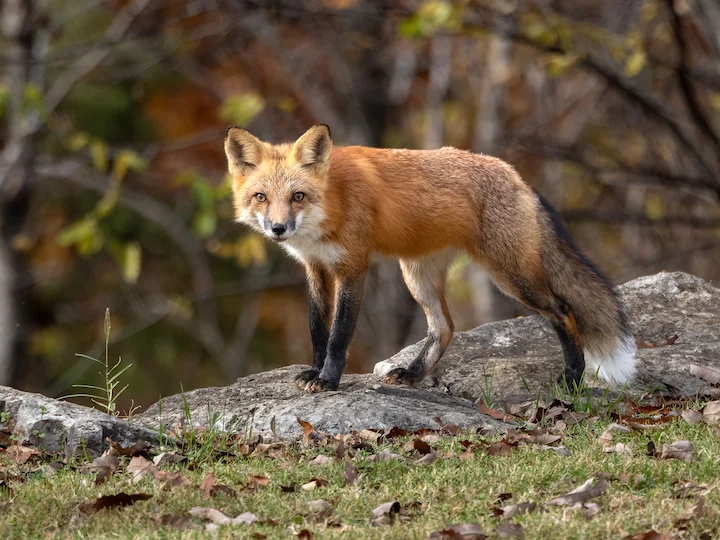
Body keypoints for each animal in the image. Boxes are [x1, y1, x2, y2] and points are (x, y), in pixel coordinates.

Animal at [223, 124, 636, 393]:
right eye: (261, 197)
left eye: (297, 196)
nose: (278, 229)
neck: (332, 202)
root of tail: (516, 176)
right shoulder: (315, 267)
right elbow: (316, 329)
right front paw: (314, 371)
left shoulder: (353, 266)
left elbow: (339, 333)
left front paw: (328, 379)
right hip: (417, 276)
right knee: (445, 328)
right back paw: (414, 374)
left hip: (512, 276)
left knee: (564, 310)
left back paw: (573, 377)